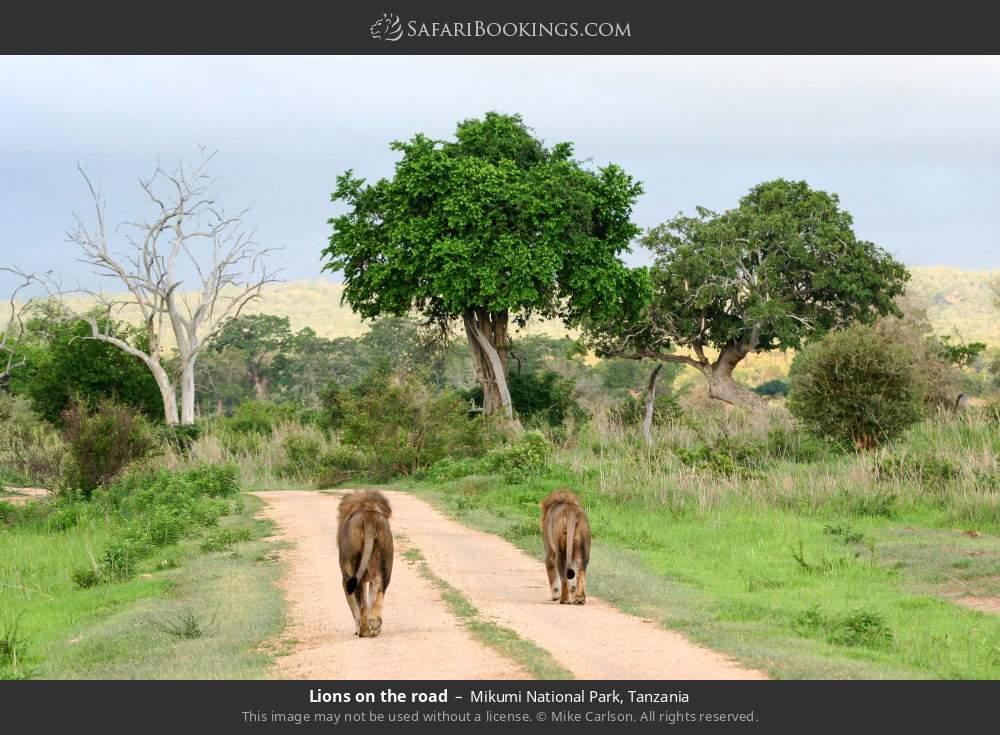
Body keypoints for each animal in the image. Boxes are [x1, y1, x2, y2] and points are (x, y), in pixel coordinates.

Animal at [337, 490, 394, 637]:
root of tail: (370, 519)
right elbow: (371, 599)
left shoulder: (344, 580)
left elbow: (355, 608)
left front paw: (356, 629)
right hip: (384, 567)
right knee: (379, 593)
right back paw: (374, 626)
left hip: (353, 572)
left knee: (361, 605)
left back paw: (363, 631)